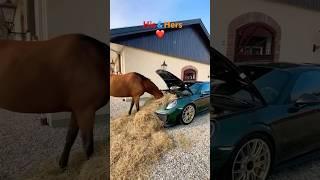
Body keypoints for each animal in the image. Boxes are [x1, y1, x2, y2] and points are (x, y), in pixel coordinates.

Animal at [0, 34, 109, 169]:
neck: (94, 61)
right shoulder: (86, 111)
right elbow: (88, 146)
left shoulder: (77, 111)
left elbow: (70, 137)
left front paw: (62, 164)